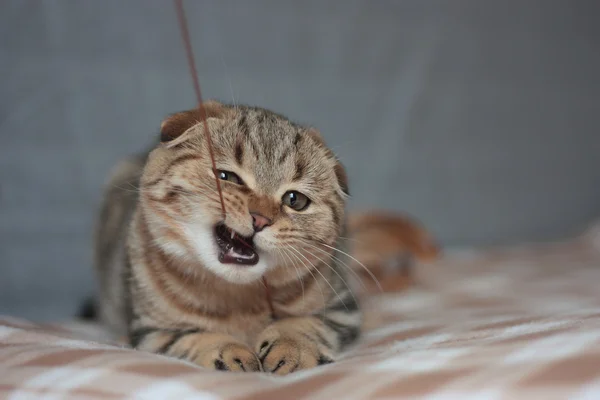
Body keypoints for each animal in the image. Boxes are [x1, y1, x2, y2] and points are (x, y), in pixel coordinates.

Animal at [94, 101, 358, 376]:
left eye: (295, 200)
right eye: (227, 177)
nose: (260, 219)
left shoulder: (341, 310)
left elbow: (305, 324)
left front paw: (292, 348)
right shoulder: (150, 329)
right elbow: (192, 337)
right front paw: (229, 353)